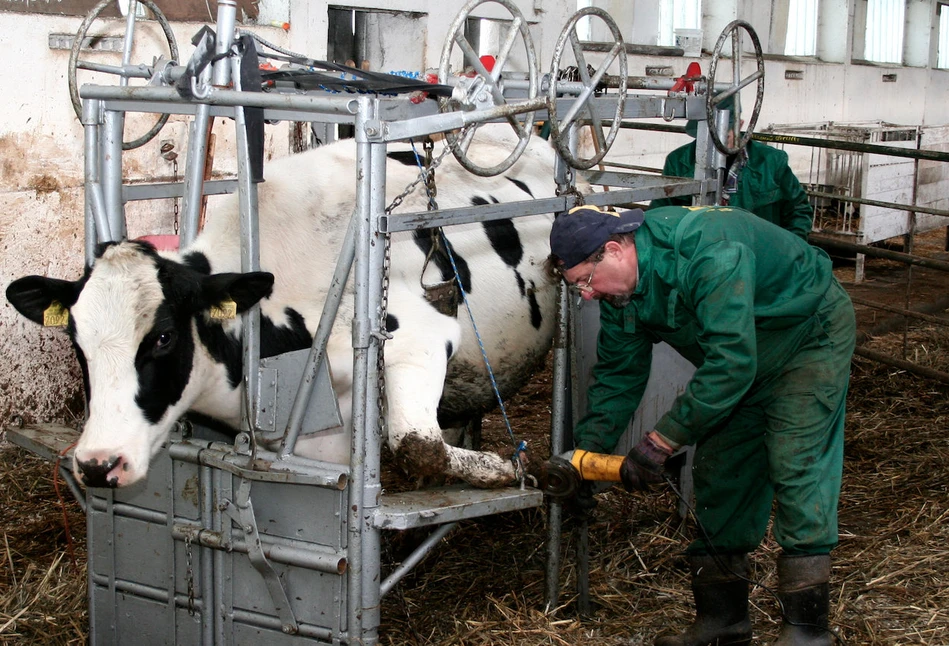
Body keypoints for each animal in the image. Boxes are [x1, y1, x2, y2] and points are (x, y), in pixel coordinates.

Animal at [5, 135, 576, 492]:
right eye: (77, 341)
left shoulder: (422, 334)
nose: (98, 464)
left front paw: (503, 468)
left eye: (164, 337)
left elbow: (416, 448)